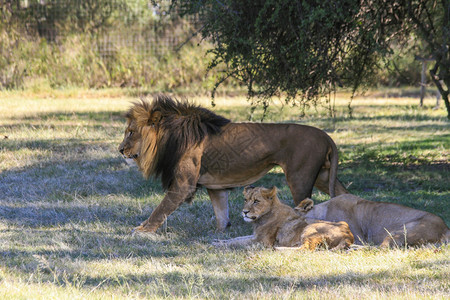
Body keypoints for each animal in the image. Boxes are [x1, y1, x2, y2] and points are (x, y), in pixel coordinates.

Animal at [119, 95, 348, 233]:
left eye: (131, 132)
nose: (120, 150)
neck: (169, 137)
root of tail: (326, 136)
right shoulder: (216, 187)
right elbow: (221, 214)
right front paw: (220, 233)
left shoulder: (183, 185)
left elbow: (160, 209)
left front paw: (143, 230)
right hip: (322, 176)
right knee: (344, 195)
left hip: (299, 178)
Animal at [213, 186, 354, 250]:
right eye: (245, 200)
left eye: (256, 201)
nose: (244, 212)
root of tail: (348, 237)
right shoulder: (255, 236)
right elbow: (236, 238)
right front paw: (217, 240)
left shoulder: (262, 241)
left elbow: (236, 242)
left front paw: (216, 245)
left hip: (310, 228)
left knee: (305, 249)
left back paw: (278, 248)